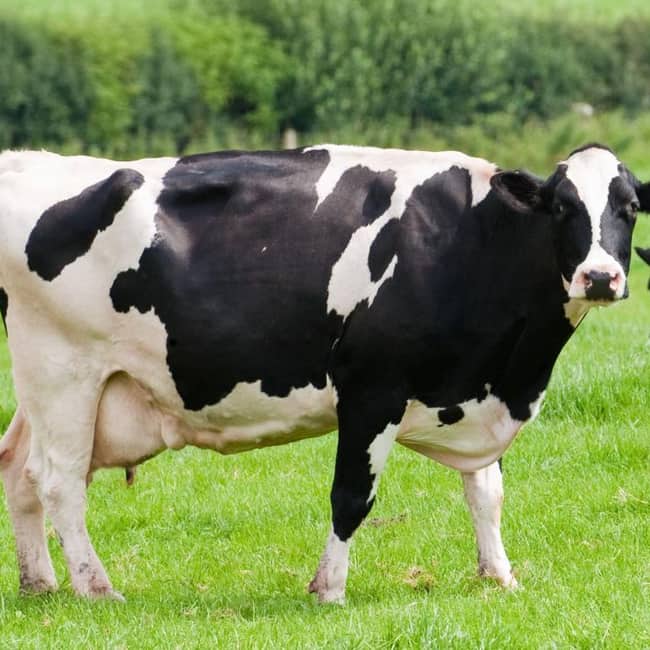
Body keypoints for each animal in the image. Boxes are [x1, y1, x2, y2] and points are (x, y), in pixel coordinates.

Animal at [0, 144, 647, 604]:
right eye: (563, 207)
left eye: (630, 208)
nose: (599, 276)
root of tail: (31, 160)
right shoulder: (372, 388)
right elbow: (352, 495)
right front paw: (329, 589)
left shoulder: (474, 386)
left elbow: (486, 491)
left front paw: (499, 576)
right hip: (64, 372)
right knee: (58, 481)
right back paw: (97, 589)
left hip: (52, 389)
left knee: (17, 469)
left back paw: (41, 583)